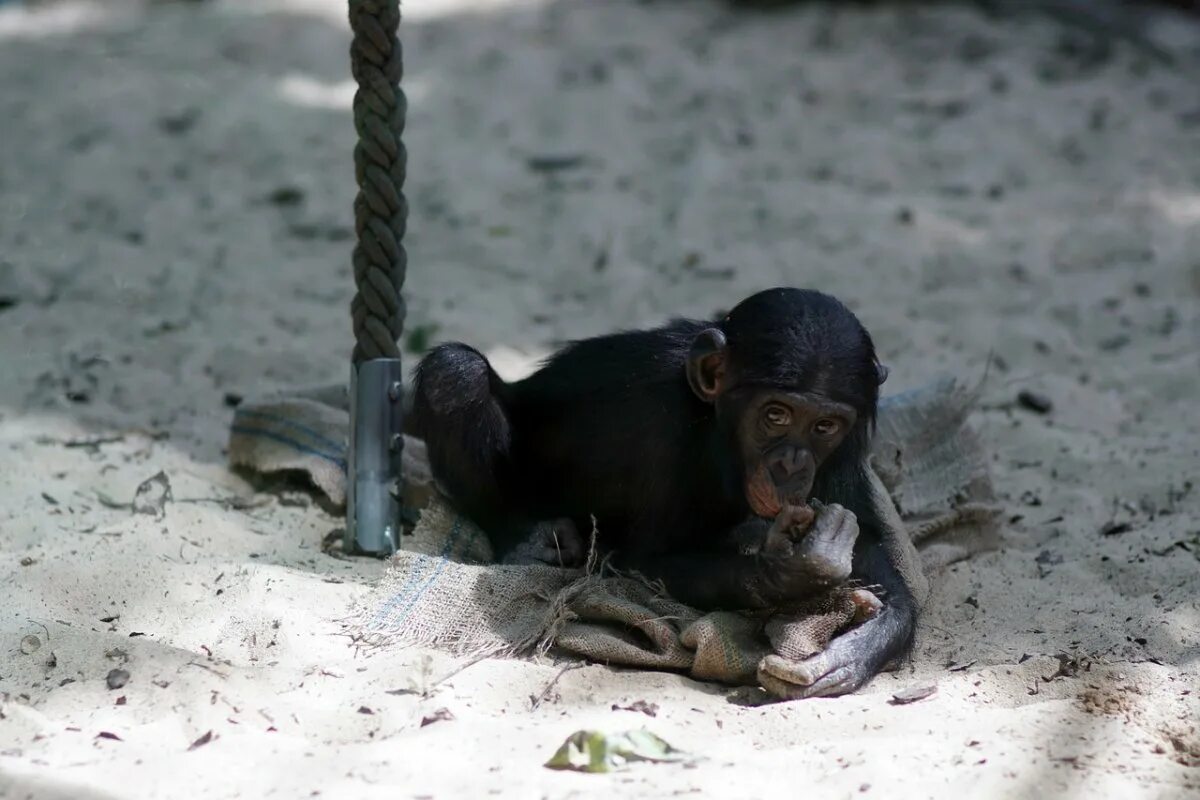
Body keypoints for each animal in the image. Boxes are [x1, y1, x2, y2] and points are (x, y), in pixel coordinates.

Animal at [408, 286, 912, 695]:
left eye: (824, 426)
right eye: (776, 415)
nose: (791, 464)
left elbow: (865, 538)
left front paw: (858, 647)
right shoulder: (663, 428)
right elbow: (647, 559)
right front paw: (792, 573)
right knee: (455, 371)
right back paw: (525, 539)